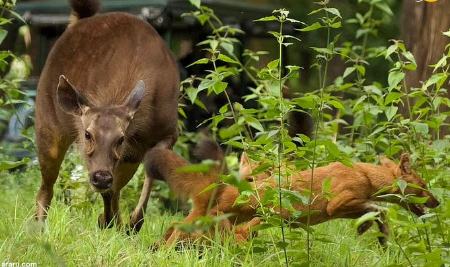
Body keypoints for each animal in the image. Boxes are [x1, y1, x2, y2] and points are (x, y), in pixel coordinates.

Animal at [35, 0, 179, 232]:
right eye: (87, 134)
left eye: (121, 138)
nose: (101, 178)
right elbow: (110, 191)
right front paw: (110, 220)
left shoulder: (169, 131)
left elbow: (148, 174)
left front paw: (133, 222)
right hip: (47, 124)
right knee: (46, 187)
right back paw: (39, 228)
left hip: (129, 158)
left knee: (116, 186)